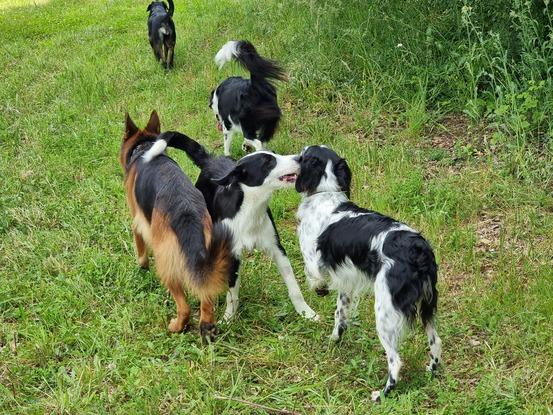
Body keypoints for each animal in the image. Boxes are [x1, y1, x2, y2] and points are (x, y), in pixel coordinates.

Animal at [118, 111, 233, 342]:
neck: (143, 149)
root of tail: (186, 213)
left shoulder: (137, 220)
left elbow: (140, 252)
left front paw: (141, 266)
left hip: (167, 264)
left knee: (185, 306)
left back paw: (177, 326)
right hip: (206, 258)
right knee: (205, 297)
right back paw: (207, 328)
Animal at [296, 145, 442, 400]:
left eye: (304, 153)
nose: (294, 158)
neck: (325, 193)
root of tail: (418, 248)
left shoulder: (313, 259)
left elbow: (313, 275)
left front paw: (319, 290)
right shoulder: (346, 282)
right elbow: (340, 315)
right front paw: (334, 340)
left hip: (384, 312)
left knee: (395, 360)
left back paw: (382, 393)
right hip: (427, 308)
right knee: (435, 342)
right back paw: (431, 371)